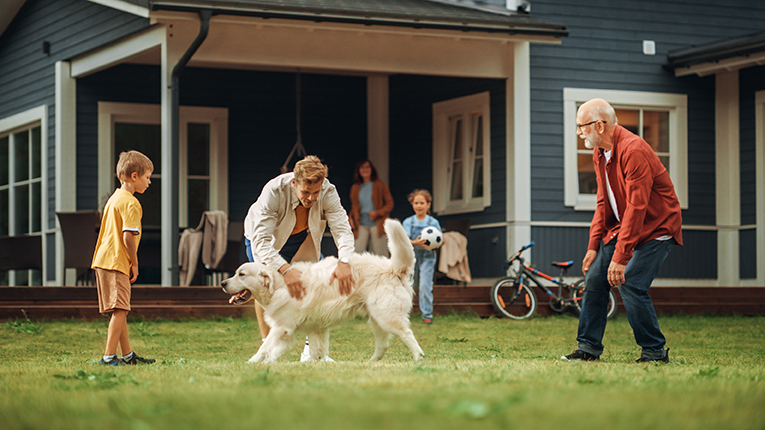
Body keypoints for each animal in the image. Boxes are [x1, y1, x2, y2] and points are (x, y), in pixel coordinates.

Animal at [221, 218, 424, 362]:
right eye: (235, 273)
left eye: (241, 274)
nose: (223, 283)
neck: (279, 285)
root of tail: (393, 269)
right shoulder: (313, 328)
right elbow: (313, 350)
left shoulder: (282, 327)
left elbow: (265, 348)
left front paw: (252, 363)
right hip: (377, 319)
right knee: (383, 345)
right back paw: (370, 363)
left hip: (386, 316)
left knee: (407, 334)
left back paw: (418, 358)